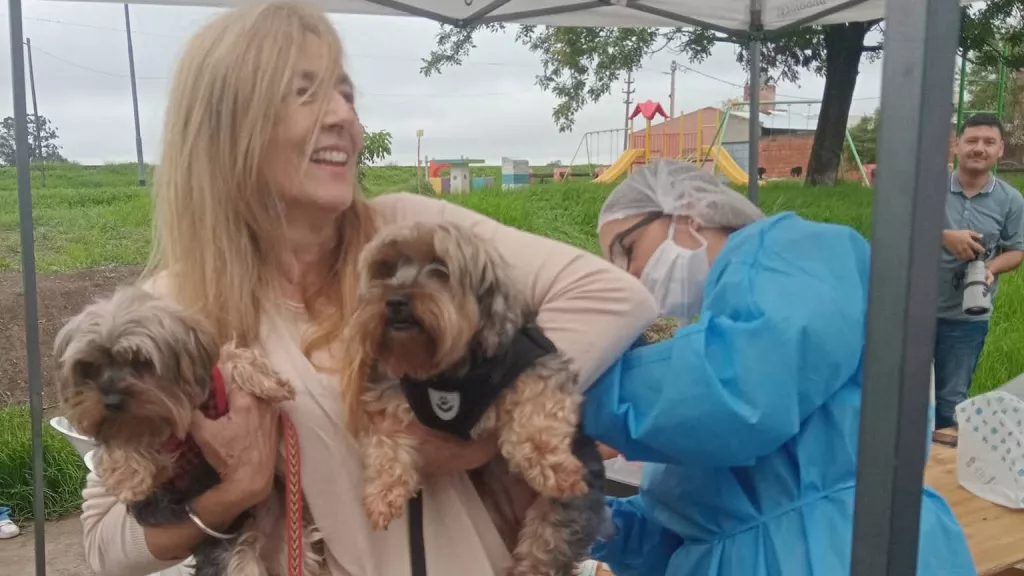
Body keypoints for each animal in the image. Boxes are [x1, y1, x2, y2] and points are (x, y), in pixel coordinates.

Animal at [54, 285, 324, 576]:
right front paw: (128, 477)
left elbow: (232, 354)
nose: (112, 401)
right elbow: (124, 441)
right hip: (236, 556)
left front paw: (270, 383)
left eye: (142, 362)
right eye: (90, 367)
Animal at [338, 221, 607, 576]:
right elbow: (385, 438)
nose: (394, 301)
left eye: (440, 267)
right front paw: (383, 491)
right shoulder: (394, 394)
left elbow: (538, 417)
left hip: (560, 519)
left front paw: (552, 467)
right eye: (387, 269)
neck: (448, 374)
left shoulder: (538, 366)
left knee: (542, 552)